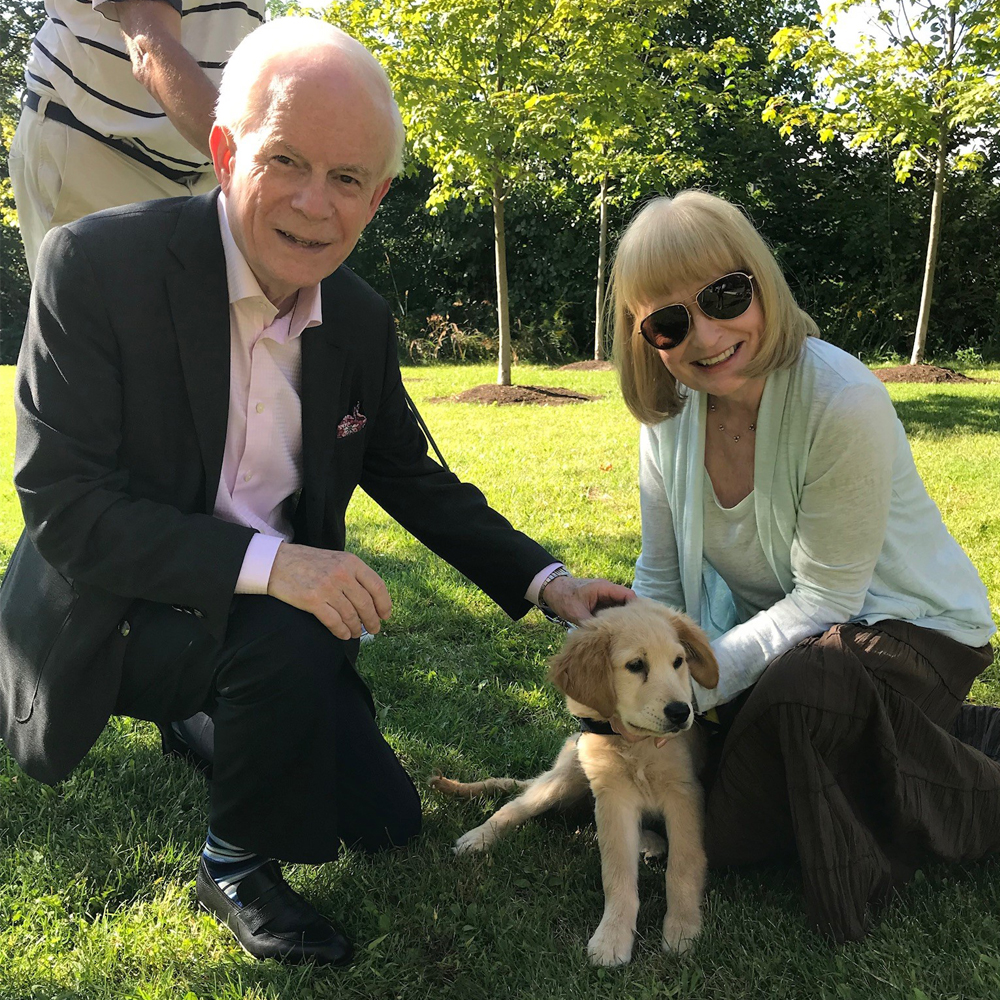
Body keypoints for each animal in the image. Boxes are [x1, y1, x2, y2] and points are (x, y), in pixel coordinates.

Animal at [432, 596, 720, 964]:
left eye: (678, 662)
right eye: (636, 665)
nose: (681, 712)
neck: (635, 746)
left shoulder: (683, 793)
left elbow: (684, 865)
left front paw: (683, 928)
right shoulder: (612, 796)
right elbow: (616, 873)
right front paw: (613, 936)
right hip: (564, 778)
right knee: (516, 805)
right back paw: (478, 837)